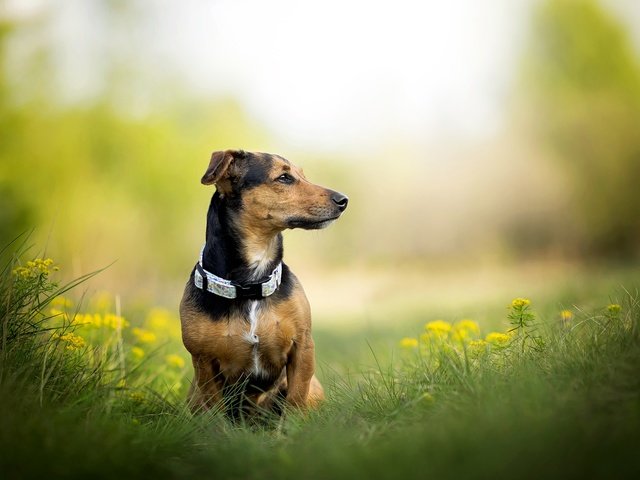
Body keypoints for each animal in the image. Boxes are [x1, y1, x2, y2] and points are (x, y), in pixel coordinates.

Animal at [179, 150, 350, 420]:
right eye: (284, 178)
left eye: (303, 175)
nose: (343, 200)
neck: (250, 284)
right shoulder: (203, 361)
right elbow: (216, 411)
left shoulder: (302, 348)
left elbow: (295, 401)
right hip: (195, 393)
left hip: (313, 387)